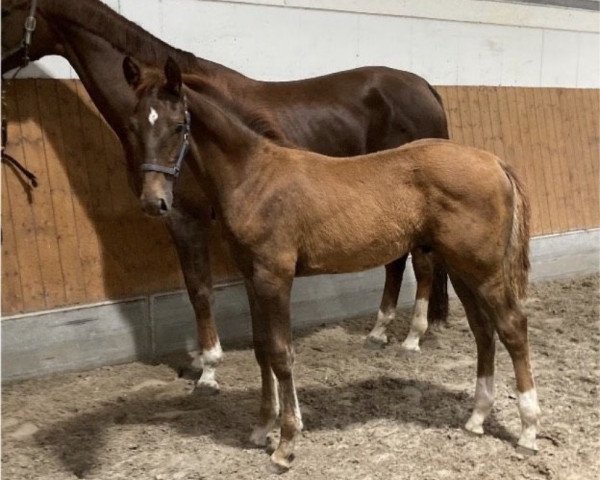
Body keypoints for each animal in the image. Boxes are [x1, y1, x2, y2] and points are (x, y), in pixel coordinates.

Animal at [125, 58, 540, 470]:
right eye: (133, 125)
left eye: (179, 126)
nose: (153, 202)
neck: (254, 178)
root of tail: (495, 161)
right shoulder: (251, 277)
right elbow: (261, 350)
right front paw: (261, 428)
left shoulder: (275, 277)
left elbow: (281, 354)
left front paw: (286, 444)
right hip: (461, 268)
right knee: (483, 331)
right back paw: (476, 418)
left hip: (484, 270)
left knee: (512, 328)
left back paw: (528, 430)